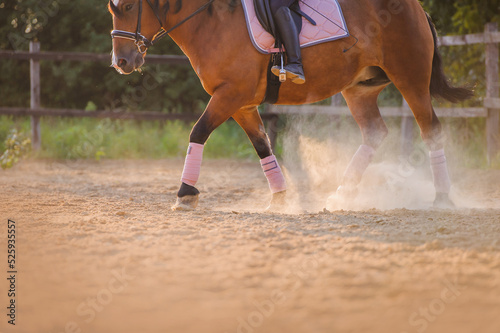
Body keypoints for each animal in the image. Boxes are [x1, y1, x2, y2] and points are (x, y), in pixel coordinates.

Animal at [108, 0, 472, 210]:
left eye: (127, 6)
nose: (121, 62)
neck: (212, 22)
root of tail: (416, 8)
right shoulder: (241, 104)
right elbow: (263, 147)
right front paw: (280, 198)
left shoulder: (230, 95)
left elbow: (197, 132)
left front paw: (185, 193)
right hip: (359, 89)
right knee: (375, 133)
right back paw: (343, 193)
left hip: (410, 78)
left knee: (431, 130)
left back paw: (442, 197)